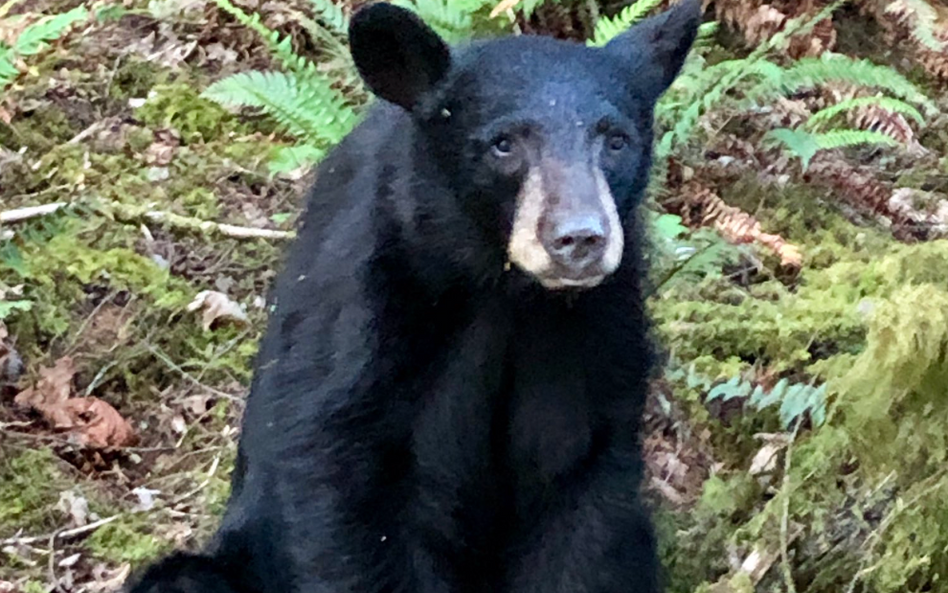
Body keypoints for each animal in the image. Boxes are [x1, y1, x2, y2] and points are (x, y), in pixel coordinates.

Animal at [130, 1, 700, 592]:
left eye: (616, 140)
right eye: (504, 143)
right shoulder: (367, 315)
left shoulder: (596, 333)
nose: (580, 238)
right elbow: (341, 496)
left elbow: (579, 497)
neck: (503, 290)